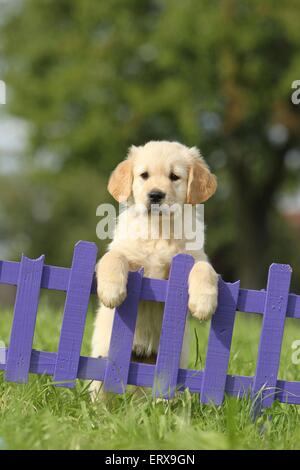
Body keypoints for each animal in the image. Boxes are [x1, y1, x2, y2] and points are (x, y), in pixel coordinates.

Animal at [90, 140, 219, 400]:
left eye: (174, 177)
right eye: (144, 175)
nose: (156, 195)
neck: (158, 229)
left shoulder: (194, 256)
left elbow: (203, 268)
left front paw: (203, 304)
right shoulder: (124, 251)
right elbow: (113, 257)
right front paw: (111, 292)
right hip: (104, 354)